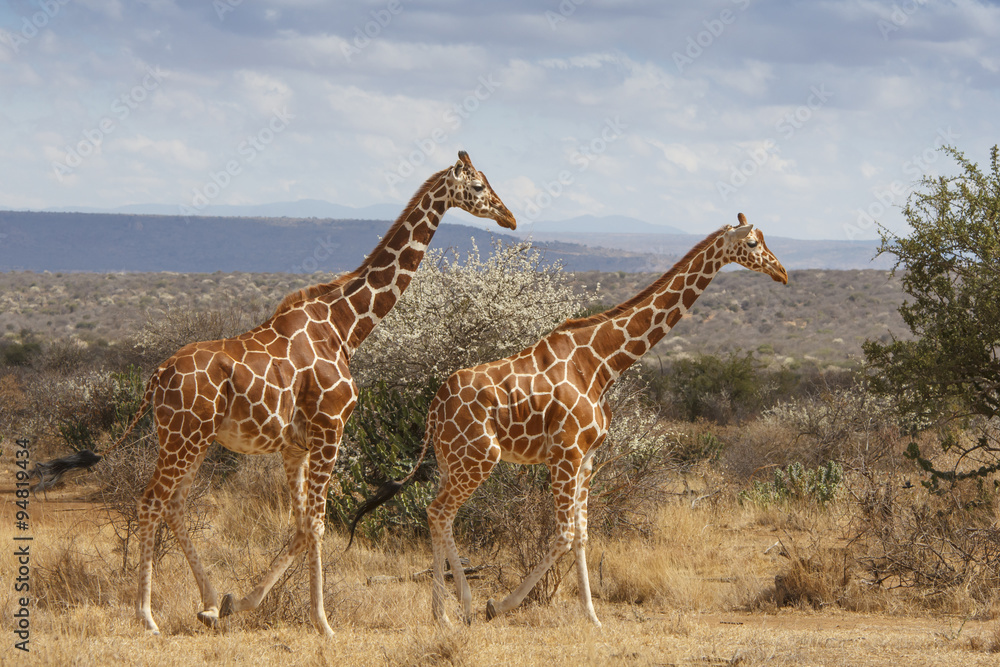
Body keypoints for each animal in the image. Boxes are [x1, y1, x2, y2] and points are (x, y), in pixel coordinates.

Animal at [112, 151, 516, 636]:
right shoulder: (330, 429)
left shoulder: (296, 446)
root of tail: (157, 375)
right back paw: (147, 616)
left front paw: (236, 602)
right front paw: (322, 622)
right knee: (151, 501)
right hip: (183, 437)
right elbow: (319, 525)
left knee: (173, 504)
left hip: (191, 439)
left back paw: (207, 602)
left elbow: (302, 526)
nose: (510, 217)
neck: (345, 325)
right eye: (477, 187)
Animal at [349, 213, 787, 626]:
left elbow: (582, 535)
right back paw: (460, 607)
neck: (603, 362)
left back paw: (445, 609)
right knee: (439, 512)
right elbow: (563, 534)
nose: (781, 272)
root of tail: (434, 406)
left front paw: (592, 616)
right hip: (478, 458)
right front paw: (500, 604)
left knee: (440, 515)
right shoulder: (566, 453)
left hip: (450, 460)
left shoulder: (588, 457)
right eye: (752, 243)